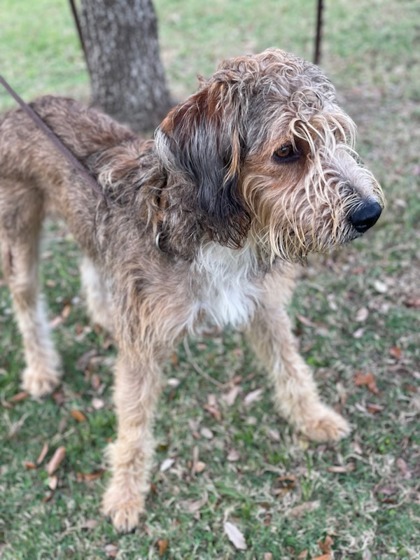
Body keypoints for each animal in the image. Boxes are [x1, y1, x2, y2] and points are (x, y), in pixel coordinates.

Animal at [0, 48, 384, 528]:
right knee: (26, 303)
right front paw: (125, 495)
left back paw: (103, 314)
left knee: (92, 256)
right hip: (19, 234)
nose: (370, 213)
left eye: (335, 134)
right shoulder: (142, 344)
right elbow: (134, 422)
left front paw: (313, 418)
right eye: (287, 151)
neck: (212, 231)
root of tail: (25, 107)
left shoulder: (262, 305)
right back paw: (40, 370)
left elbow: (291, 367)